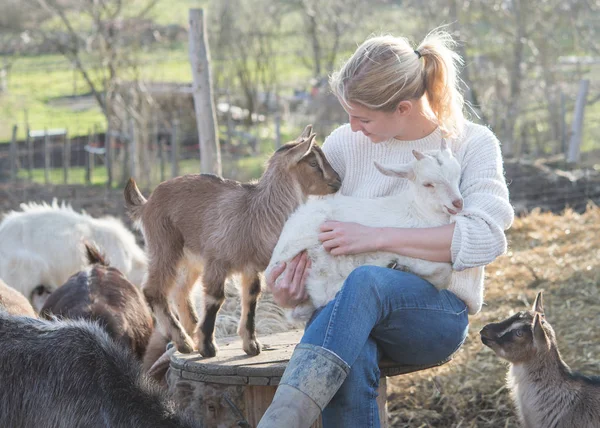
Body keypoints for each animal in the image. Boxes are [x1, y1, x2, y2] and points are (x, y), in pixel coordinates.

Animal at [268, 141, 464, 320]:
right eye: (427, 184)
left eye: (458, 175)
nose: (458, 203)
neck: (419, 211)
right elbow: (444, 272)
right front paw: (404, 268)